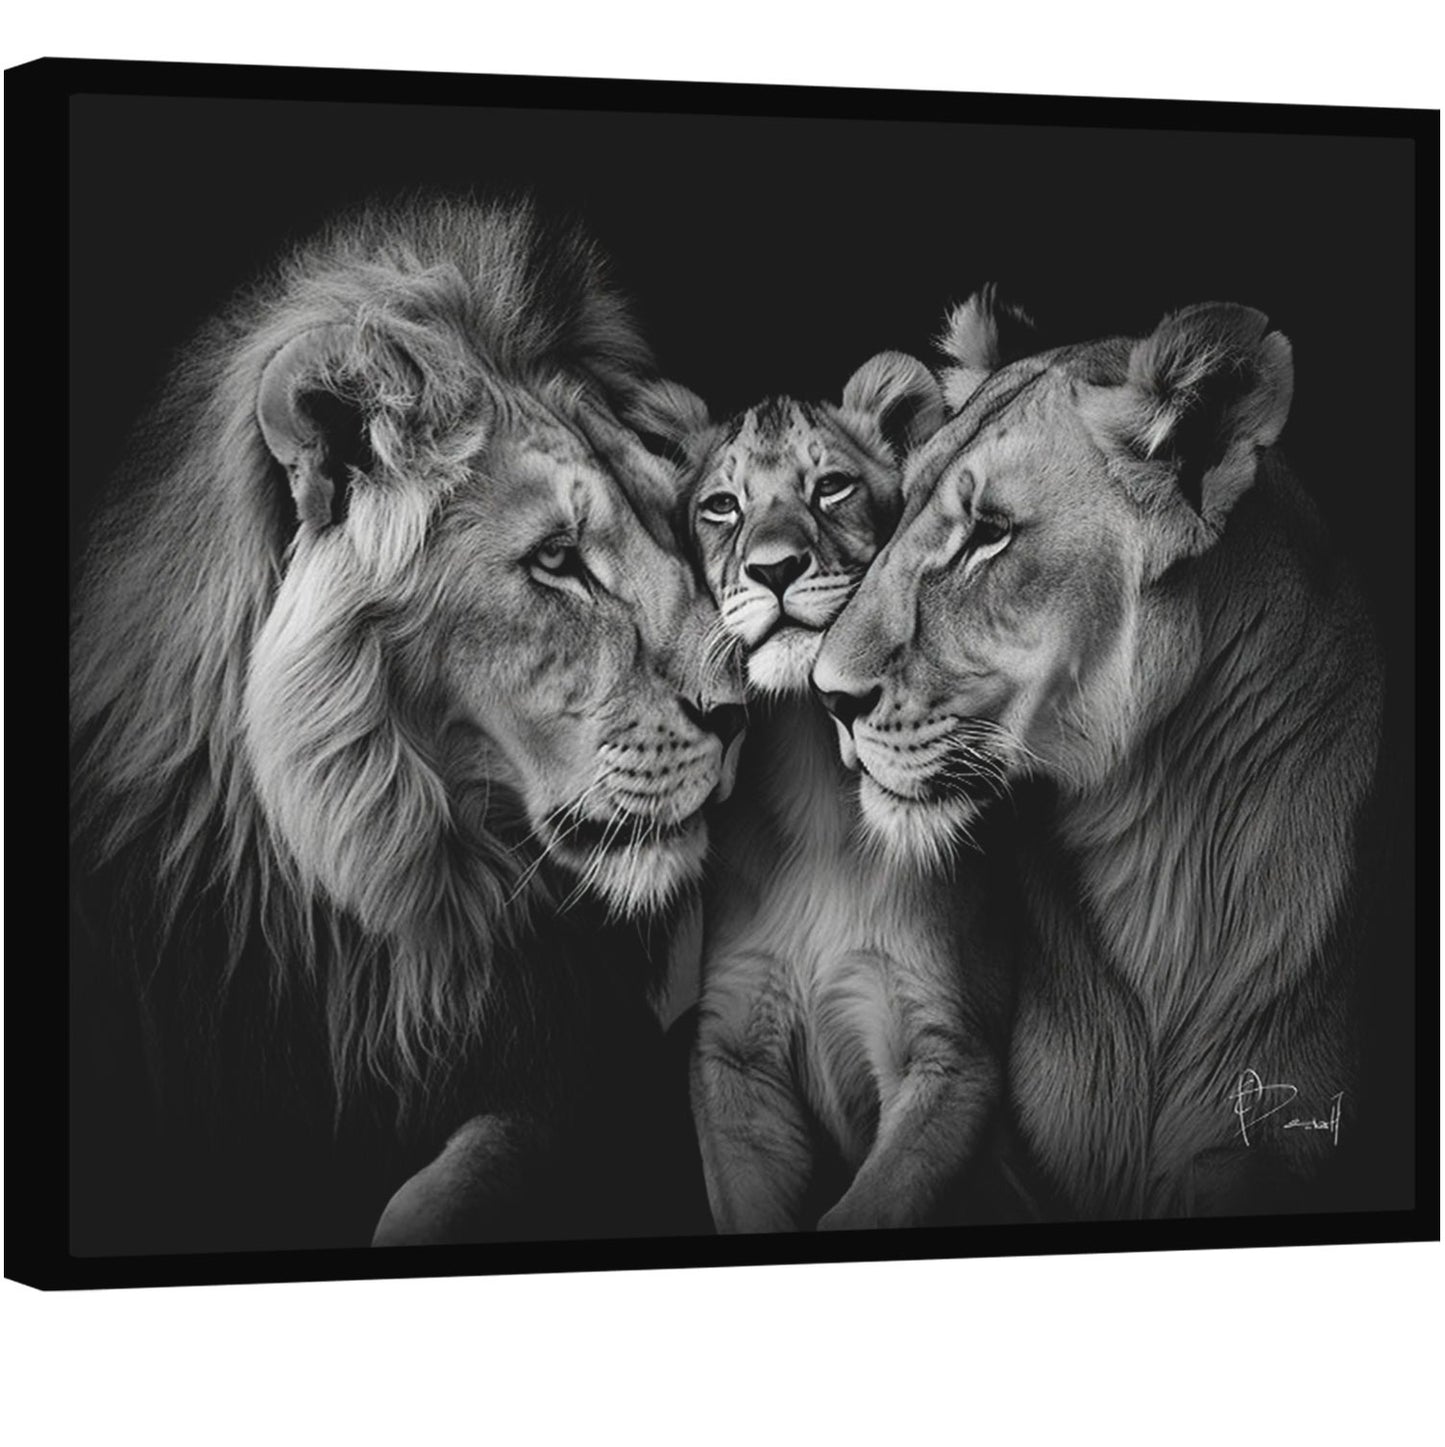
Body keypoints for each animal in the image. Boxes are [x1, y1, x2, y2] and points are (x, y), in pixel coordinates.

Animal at [631, 358, 1015, 1232]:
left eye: (831, 487)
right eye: (722, 505)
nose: (774, 568)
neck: (809, 770)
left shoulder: (947, 1054)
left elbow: (867, 1208)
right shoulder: (734, 1052)